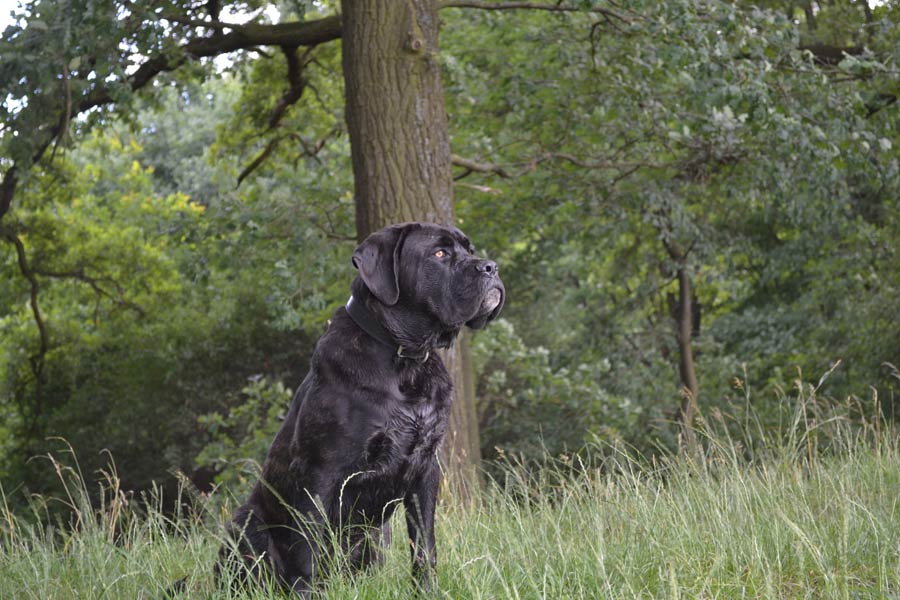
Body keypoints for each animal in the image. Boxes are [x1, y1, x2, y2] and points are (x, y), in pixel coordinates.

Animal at [216, 221, 500, 596]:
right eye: (440, 253)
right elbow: (307, 552)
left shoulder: (425, 470)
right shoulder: (320, 474)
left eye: (470, 250)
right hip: (246, 522)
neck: (405, 360)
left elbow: (424, 545)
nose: (491, 267)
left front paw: (426, 591)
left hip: (377, 536)